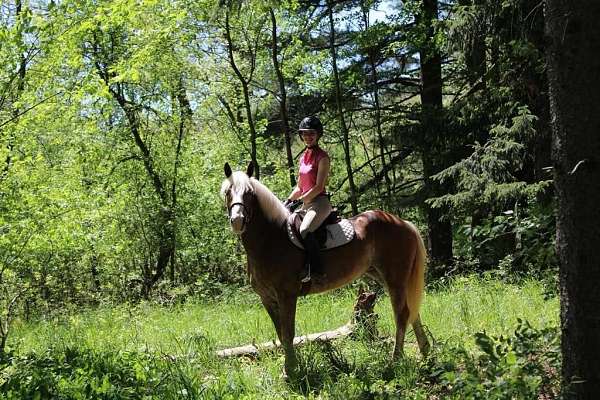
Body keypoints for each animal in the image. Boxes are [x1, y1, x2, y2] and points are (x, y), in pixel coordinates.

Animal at [220, 161, 432, 376]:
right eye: (228, 192)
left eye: (249, 193)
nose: (237, 220)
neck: (270, 239)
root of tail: (403, 222)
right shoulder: (267, 298)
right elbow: (280, 334)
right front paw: (290, 368)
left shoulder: (286, 295)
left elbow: (288, 333)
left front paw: (291, 371)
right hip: (383, 275)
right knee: (411, 311)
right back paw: (425, 352)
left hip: (395, 278)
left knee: (402, 314)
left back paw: (396, 360)